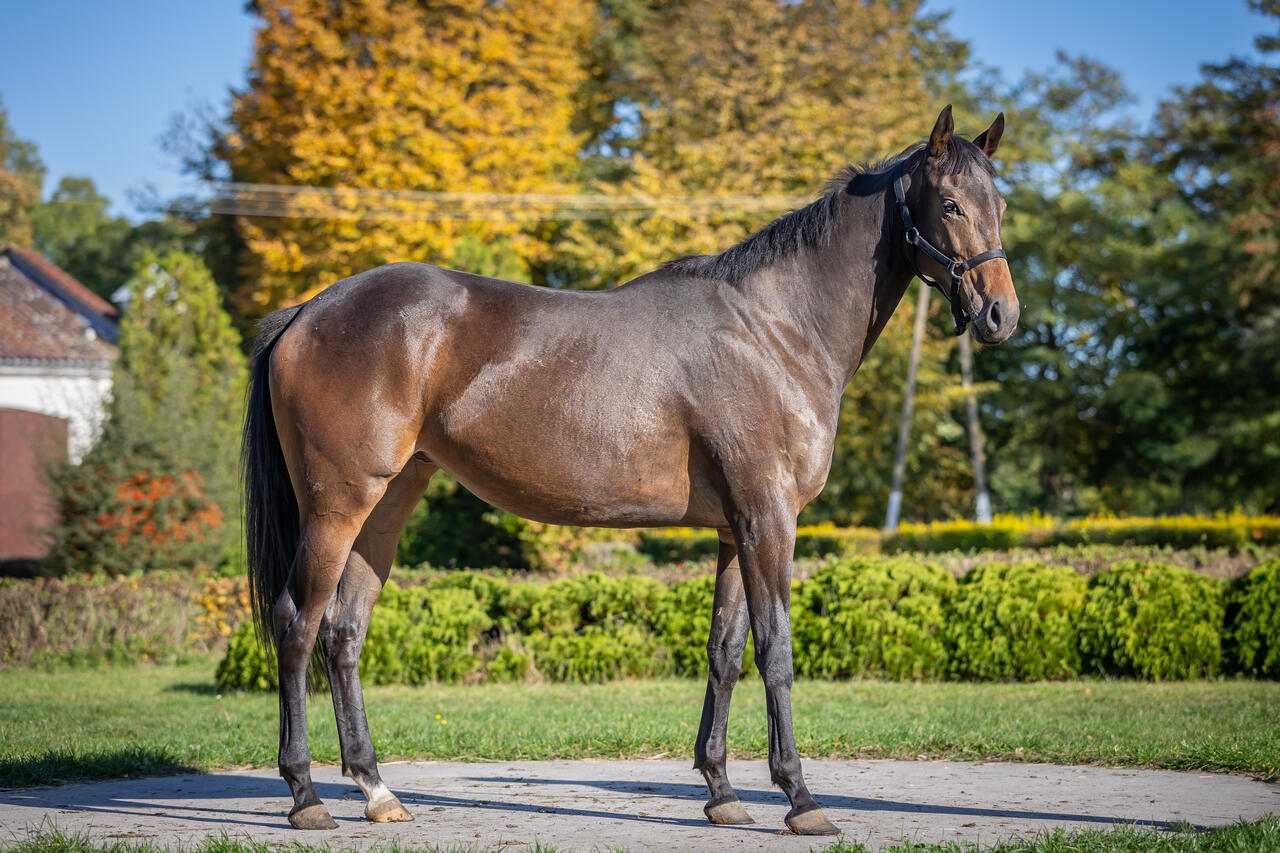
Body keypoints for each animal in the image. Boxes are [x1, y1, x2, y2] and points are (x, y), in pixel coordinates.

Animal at [242, 105, 1019, 835]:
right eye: (952, 205)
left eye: (1000, 206)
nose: (1000, 315)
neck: (775, 329)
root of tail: (307, 310)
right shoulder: (769, 519)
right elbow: (776, 650)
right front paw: (799, 798)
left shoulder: (736, 529)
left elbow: (724, 650)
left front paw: (722, 792)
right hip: (337, 505)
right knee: (298, 624)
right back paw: (306, 795)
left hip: (388, 504)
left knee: (344, 634)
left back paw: (377, 792)